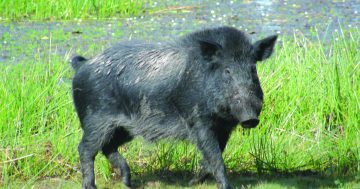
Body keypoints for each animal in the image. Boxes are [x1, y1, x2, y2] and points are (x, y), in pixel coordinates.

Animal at [71, 26, 278, 189]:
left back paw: (128, 183)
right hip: (95, 121)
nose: (250, 118)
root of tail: (83, 64)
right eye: (227, 70)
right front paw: (225, 186)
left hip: (123, 129)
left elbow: (212, 156)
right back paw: (91, 186)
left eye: (253, 69)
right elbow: (215, 157)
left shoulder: (224, 128)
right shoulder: (198, 122)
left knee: (108, 147)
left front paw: (192, 182)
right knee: (85, 149)